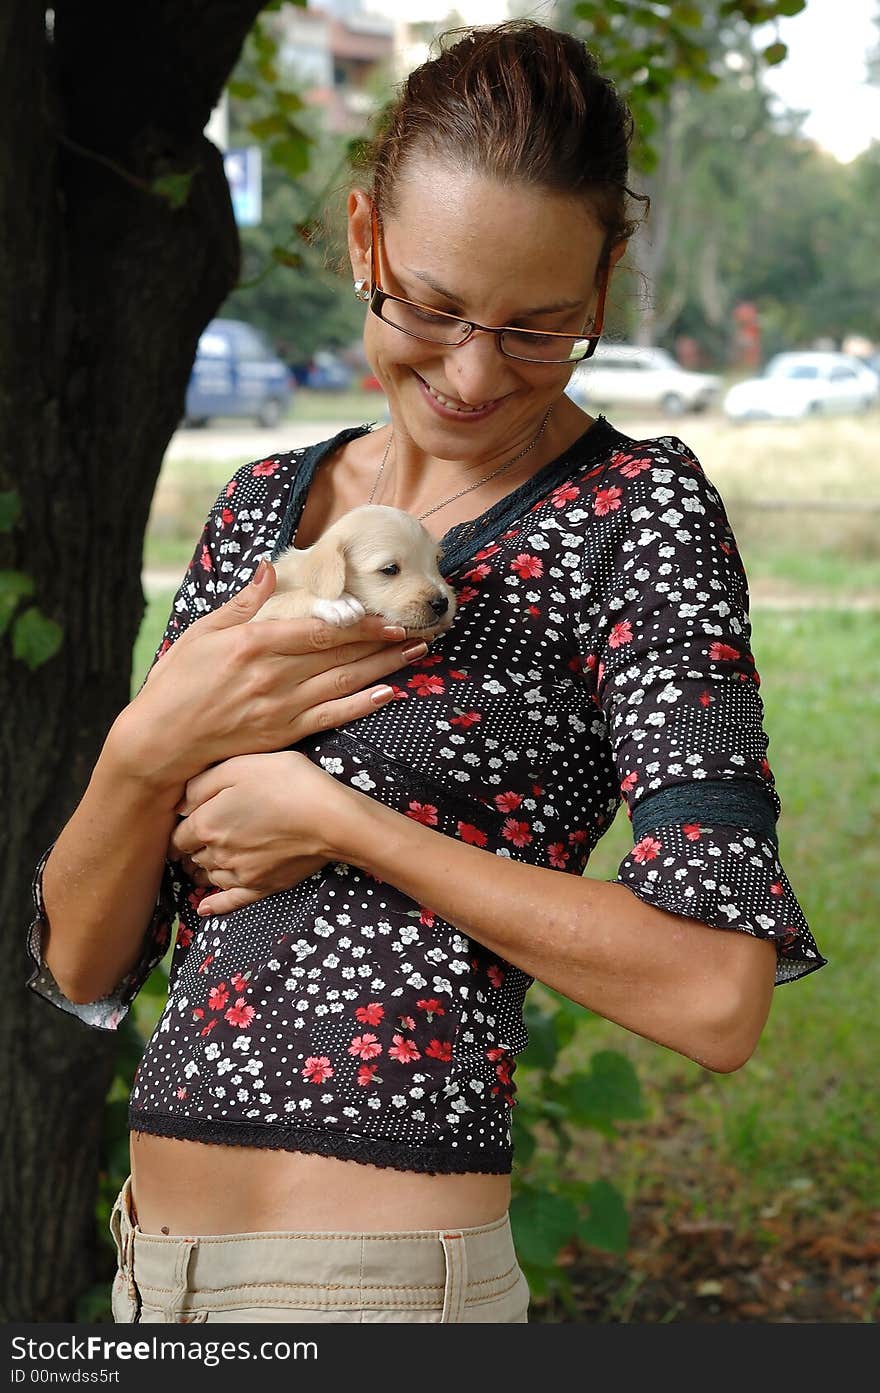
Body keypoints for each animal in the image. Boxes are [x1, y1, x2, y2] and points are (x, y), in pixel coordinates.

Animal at [246, 507, 456, 637]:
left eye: (436, 561)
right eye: (390, 569)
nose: (442, 604)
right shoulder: (257, 617)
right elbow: (282, 600)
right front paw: (338, 602)